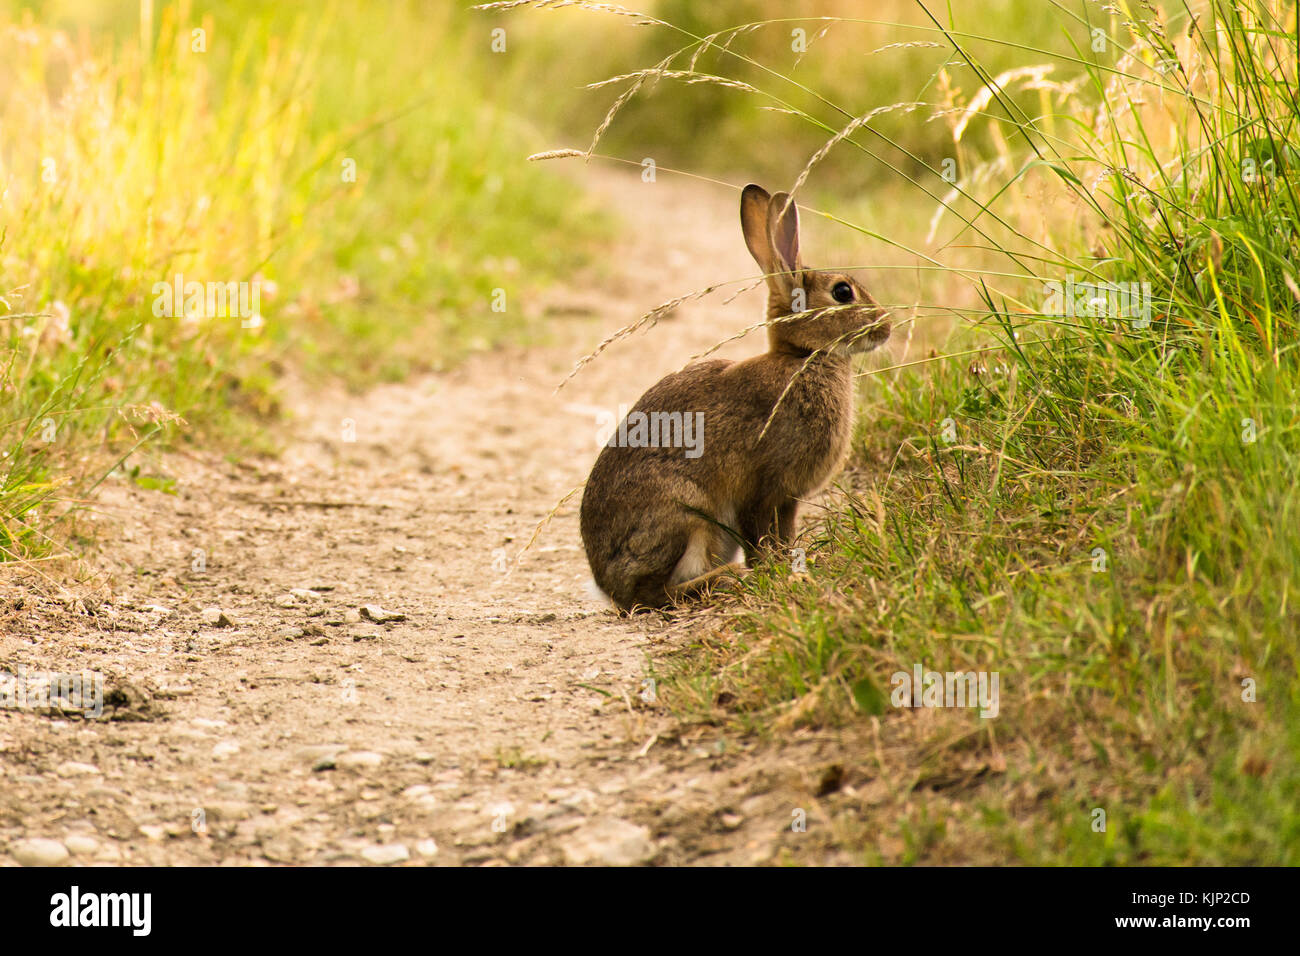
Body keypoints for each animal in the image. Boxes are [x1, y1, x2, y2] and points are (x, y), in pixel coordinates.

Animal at [580, 184, 890, 612]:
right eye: (843, 292)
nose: (888, 326)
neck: (801, 357)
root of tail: (607, 584)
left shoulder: (787, 499)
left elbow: (782, 537)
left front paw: (791, 568)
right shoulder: (760, 489)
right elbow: (761, 538)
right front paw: (776, 575)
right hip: (688, 515)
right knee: (653, 593)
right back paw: (726, 579)